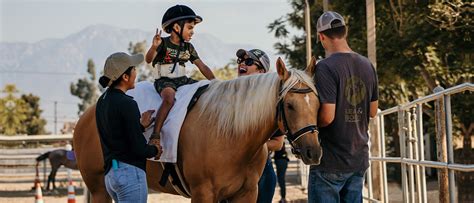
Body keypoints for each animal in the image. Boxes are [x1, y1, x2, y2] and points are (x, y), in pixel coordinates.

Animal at [74, 58, 324, 202]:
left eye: (318, 103)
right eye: (289, 105)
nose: (313, 152)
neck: (230, 133)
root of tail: (87, 116)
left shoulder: (246, 194)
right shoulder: (203, 193)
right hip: (99, 189)